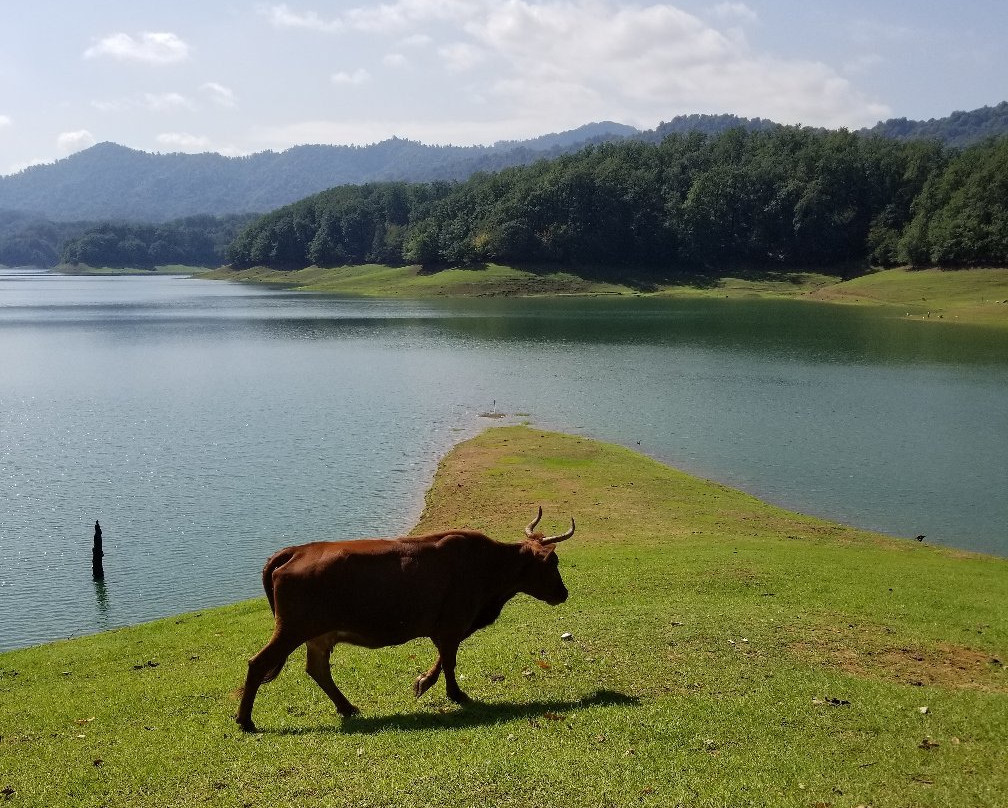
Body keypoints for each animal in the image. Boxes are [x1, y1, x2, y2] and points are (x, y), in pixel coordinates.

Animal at [230, 503, 572, 729]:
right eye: (553, 562)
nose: (563, 593)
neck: (487, 565)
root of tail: (297, 550)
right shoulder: (452, 624)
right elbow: (449, 661)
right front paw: (455, 694)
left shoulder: (448, 627)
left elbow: (444, 658)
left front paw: (424, 682)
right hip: (292, 628)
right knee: (258, 664)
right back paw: (245, 721)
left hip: (318, 634)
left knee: (318, 670)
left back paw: (347, 707)